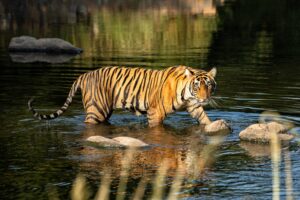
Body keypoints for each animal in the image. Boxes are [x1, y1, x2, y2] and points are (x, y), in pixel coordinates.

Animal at [28, 66, 217, 127]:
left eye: (208, 85)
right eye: (197, 86)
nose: (204, 98)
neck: (186, 93)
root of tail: (84, 75)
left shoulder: (193, 106)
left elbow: (203, 118)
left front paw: (213, 127)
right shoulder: (155, 112)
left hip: (104, 111)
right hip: (96, 110)